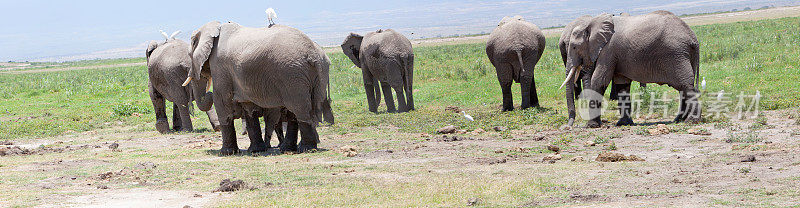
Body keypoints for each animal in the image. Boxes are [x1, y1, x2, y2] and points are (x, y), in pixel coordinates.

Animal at [185, 22, 334, 155]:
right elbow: (249, 107)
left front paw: (226, 152)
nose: (208, 92)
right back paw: (289, 149)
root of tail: (313, 54)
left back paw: (307, 149)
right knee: (295, 112)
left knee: (300, 109)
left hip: (292, 74)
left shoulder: (220, 66)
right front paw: (255, 150)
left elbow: (222, 102)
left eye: (189, 55)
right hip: (311, 75)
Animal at [560, 11, 704, 128]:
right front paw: (623, 124)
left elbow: (599, 81)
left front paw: (591, 126)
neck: (591, 23)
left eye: (574, 47)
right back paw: (678, 120)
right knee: (683, 89)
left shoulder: (608, 50)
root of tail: (693, 38)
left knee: (686, 86)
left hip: (676, 54)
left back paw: (691, 121)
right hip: (683, 55)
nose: (567, 126)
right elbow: (622, 85)